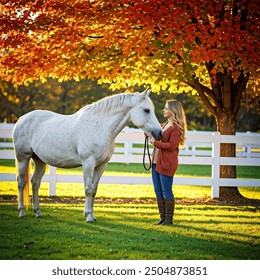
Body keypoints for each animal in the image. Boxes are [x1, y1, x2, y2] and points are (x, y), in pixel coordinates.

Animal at [13, 89, 162, 223]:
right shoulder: (88, 163)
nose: (159, 133)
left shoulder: (101, 166)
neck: (100, 127)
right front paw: (89, 217)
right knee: (21, 182)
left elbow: (94, 190)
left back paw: (38, 212)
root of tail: (21, 119)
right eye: (147, 110)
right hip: (23, 158)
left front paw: (92, 215)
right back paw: (21, 212)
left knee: (35, 183)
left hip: (39, 161)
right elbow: (88, 189)